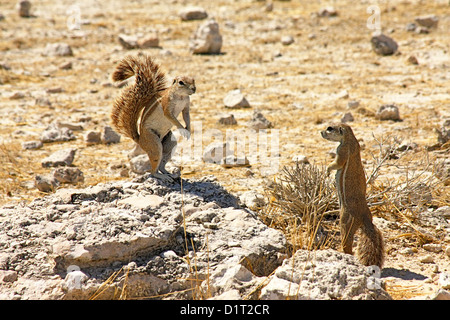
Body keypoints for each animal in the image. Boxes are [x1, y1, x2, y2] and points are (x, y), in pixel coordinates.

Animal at [110, 53, 195, 181]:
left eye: (194, 80)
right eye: (181, 82)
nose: (194, 89)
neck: (181, 97)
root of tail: (139, 140)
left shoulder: (186, 106)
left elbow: (187, 117)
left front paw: (188, 130)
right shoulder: (167, 105)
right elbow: (171, 117)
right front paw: (182, 129)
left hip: (170, 143)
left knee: (161, 164)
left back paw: (168, 173)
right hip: (154, 144)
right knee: (153, 171)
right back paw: (162, 176)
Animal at [322, 122, 384, 268]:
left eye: (330, 128)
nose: (321, 132)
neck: (350, 139)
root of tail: (366, 219)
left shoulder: (342, 150)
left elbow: (336, 163)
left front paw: (327, 171)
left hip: (345, 221)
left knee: (347, 243)